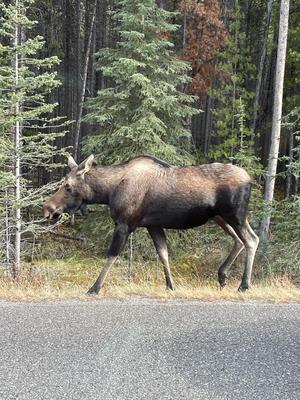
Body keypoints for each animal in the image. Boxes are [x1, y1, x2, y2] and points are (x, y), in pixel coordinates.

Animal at [43, 155, 258, 296]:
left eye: (68, 186)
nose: (47, 208)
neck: (108, 192)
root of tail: (250, 179)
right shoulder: (152, 225)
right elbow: (163, 253)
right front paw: (170, 286)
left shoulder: (125, 223)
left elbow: (111, 256)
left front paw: (94, 288)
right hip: (219, 217)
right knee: (239, 240)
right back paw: (222, 276)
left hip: (234, 214)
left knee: (251, 239)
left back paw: (243, 285)